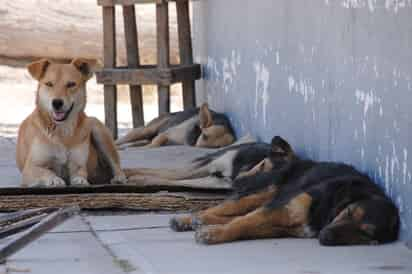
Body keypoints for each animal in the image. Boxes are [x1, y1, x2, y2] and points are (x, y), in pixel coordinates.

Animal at [16, 57, 125, 186]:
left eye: (71, 84)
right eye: (49, 84)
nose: (57, 103)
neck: (62, 130)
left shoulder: (78, 165)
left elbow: (81, 173)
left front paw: (80, 180)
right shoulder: (30, 168)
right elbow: (46, 172)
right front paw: (54, 179)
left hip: (98, 129)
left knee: (116, 165)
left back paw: (119, 178)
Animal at [170, 137, 400, 246]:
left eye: (365, 233)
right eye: (349, 212)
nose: (325, 236)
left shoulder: (282, 225)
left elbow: (244, 225)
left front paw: (216, 231)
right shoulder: (280, 207)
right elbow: (241, 222)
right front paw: (216, 233)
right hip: (265, 192)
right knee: (222, 209)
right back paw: (187, 220)